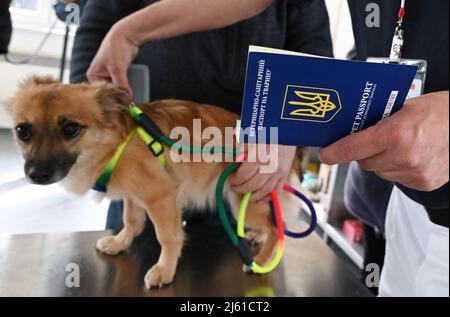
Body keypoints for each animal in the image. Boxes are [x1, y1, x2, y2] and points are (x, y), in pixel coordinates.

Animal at [7, 77, 302, 288]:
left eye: (70, 129)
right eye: (22, 131)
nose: (35, 174)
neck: (116, 145)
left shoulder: (161, 198)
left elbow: (168, 237)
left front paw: (164, 270)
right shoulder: (134, 196)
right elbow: (131, 221)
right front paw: (119, 243)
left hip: (241, 198)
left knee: (279, 226)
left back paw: (261, 260)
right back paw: (255, 236)